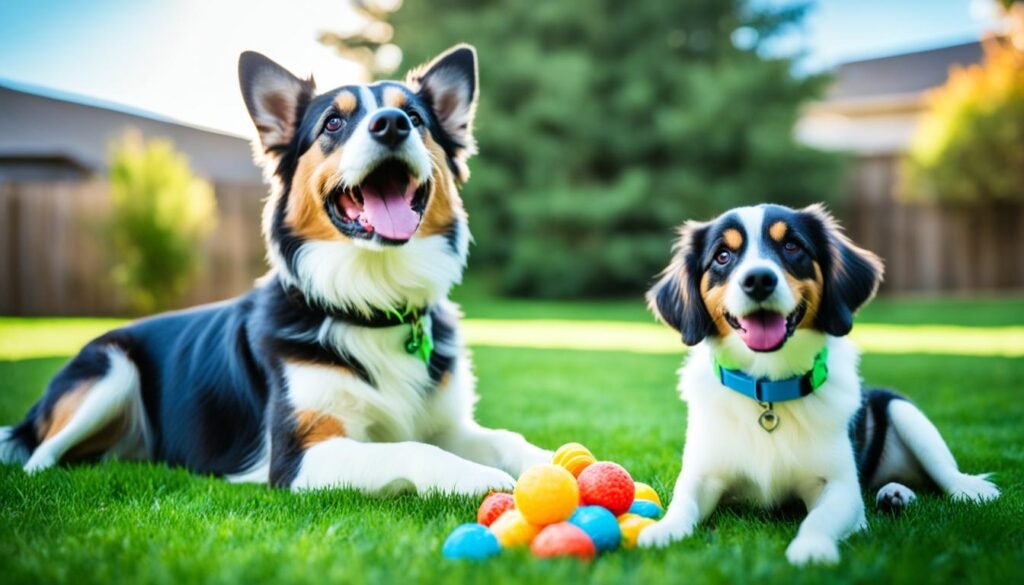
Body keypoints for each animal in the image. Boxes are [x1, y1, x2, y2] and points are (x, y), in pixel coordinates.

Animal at [0, 44, 552, 493]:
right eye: (333, 123)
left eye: (415, 117)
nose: (392, 124)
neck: (371, 300)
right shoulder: (298, 456)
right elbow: (411, 449)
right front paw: (477, 478)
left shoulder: (449, 425)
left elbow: (507, 438)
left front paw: (552, 462)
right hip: (109, 369)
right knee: (39, 454)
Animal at [638, 204, 999, 561]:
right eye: (723, 256)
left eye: (792, 246)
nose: (759, 280)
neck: (768, 389)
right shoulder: (702, 475)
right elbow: (682, 503)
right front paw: (663, 530)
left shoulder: (839, 486)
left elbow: (820, 518)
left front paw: (811, 549)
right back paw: (894, 494)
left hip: (902, 409)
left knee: (943, 472)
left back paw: (963, 488)